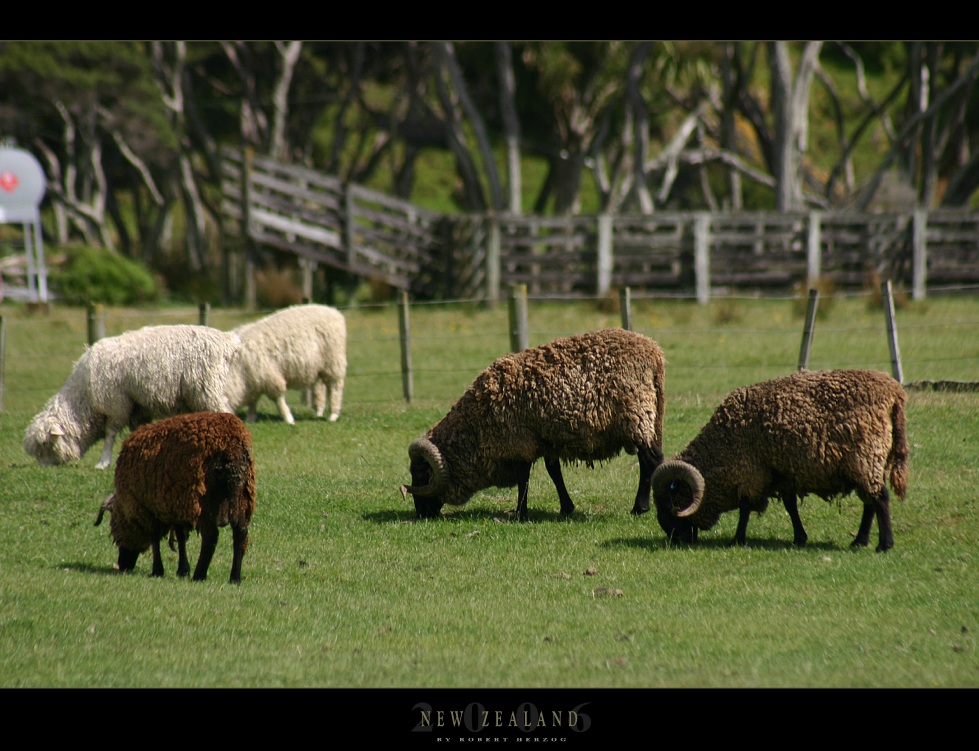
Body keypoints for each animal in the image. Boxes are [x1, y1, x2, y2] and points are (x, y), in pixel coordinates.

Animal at [23, 324, 241, 470]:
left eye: (46, 445)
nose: (43, 470)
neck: (84, 399)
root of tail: (227, 340)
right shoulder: (137, 407)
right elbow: (139, 431)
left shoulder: (116, 404)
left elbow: (110, 434)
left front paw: (103, 462)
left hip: (206, 390)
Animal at [94, 414, 256, 584]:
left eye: (115, 532)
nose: (123, 565)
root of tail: (233, 446)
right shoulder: (175, 503)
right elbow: (180, 536)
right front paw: (182, 570)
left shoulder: (149, 508)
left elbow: (155, 538)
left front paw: (158, 570)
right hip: (241, 495)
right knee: (240, 532)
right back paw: (235, 578)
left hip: (204, 498)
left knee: (211, 536)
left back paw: (199, 575)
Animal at [398, 328, 668, 524]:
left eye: (422, 474)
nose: (421, 513)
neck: (476, 425)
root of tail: (654, 352)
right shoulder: (546, 439)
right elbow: (554, 472)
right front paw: (566, 507)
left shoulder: (519, 442)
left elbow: (523, 478)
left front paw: (520, 513)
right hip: (651, 417)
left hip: (636, 415)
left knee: (650, 459)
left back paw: (639, 508)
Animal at [652, 368, 912, 552]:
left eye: (668, 500)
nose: (673, 539)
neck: (721, 446)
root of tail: (894, 393)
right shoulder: (783, 472)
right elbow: (790, 506)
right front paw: (799, 538)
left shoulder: (751, 471)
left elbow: (745, 507)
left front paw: (737, 540)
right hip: (868, 461)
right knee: (870, 502)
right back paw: (860, 540)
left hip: (866, 456)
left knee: (880, 498)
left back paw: (883, 544)